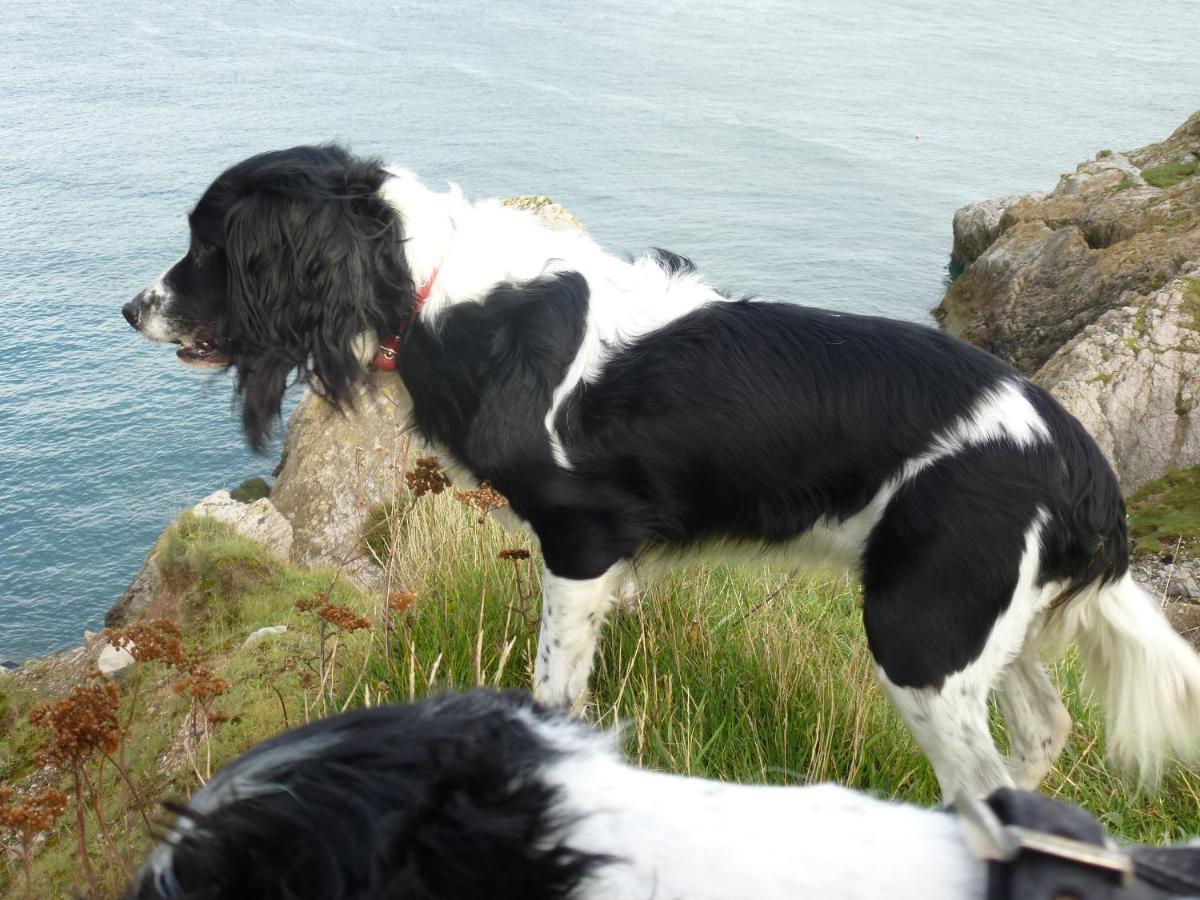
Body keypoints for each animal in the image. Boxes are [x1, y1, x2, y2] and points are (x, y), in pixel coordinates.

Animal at [124, 144, 1200, 801]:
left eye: (210, 248)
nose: (132, 310)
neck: (435, 289)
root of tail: (1078, 460)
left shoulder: (579, 543)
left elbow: (554, 691)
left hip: (919, 634)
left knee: (983, 783)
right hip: (976, 627)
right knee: (1043, 735)